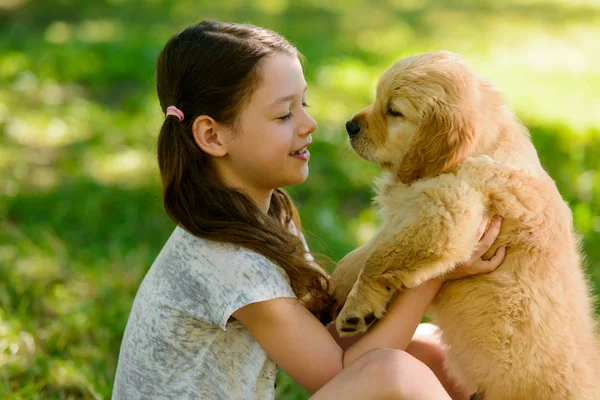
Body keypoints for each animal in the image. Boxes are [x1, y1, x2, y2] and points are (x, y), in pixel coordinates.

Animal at [332, 50, 600, 400]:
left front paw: (355, 307)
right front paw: (336, 286)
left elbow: (380, 258)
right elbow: (365, 253)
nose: (349, 126)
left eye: (393, 111)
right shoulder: (406, 215)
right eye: (377, 99)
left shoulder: (446, 215)